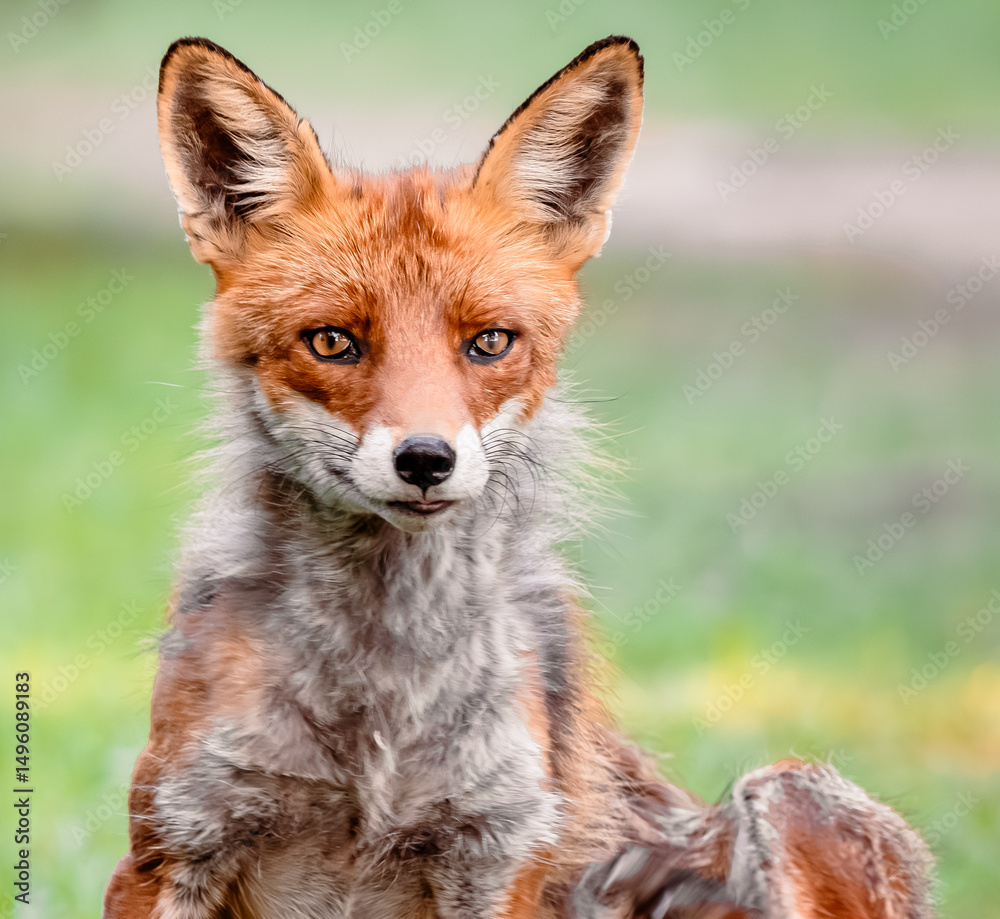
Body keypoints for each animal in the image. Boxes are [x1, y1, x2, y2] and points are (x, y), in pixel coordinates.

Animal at [104, 35, 935, 919]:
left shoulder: (498, 854)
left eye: (490, 341)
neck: (385, 698)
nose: (425, 458)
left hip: (787, 789)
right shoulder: (173, 843)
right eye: (331, 341)